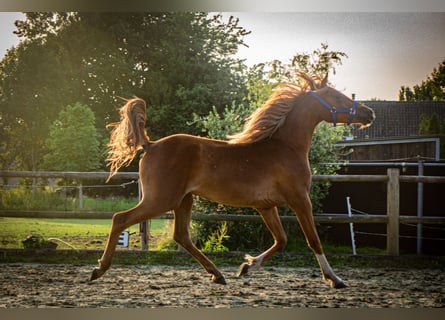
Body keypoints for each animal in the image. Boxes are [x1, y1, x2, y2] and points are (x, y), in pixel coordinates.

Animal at [90, 74, 374, 288]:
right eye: (336, 96)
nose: (368, 113)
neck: (285, 147)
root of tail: (150, 145)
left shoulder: (266, 206)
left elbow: (281, 240)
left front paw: (246, 267)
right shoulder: (299, 199)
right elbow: (313, 240)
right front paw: (335, 279)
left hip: (184, 200)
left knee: (181, 236)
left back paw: (217, 274)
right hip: (162, 199)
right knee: (120, 219)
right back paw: (99, 269)